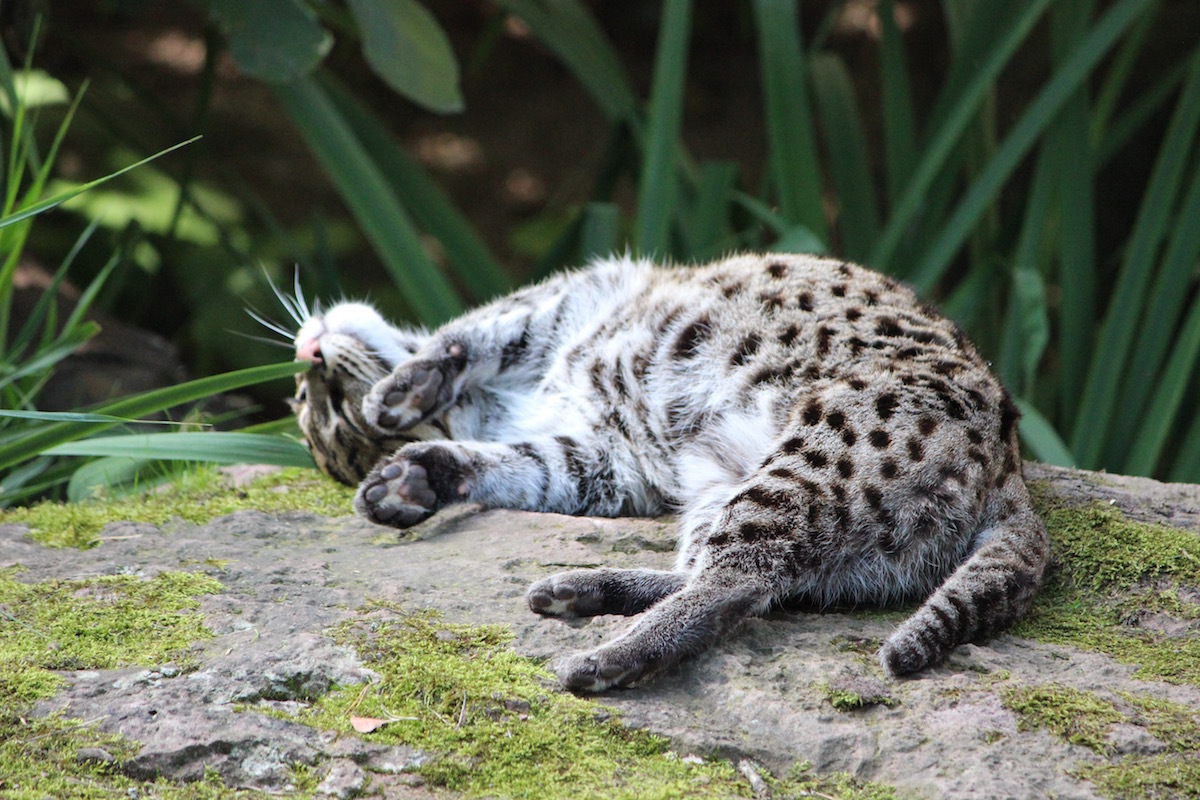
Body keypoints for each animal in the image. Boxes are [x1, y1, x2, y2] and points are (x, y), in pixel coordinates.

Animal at [283, 253, 1051, 690]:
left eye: (310, 397)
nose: (309, 352)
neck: (509, 402)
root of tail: (1012, 472)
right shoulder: (598, 460)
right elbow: (512, 466)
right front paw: (414, 477)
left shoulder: (571, 296)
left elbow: (469, 334)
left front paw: (406, 390)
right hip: (745, 490)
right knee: (749, 585)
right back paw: (586, 595)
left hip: (803, 463)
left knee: (738, 582)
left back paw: (607, 657)